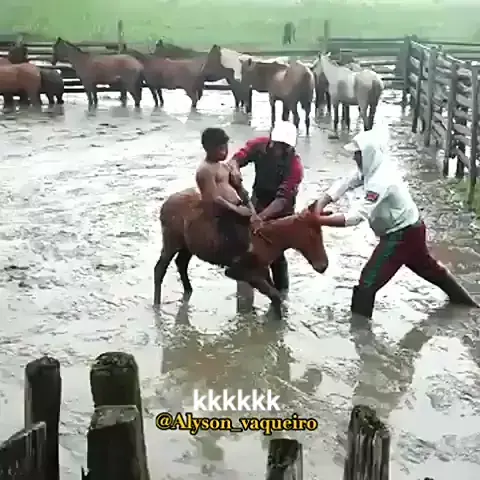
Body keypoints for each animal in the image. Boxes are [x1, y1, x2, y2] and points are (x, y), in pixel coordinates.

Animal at [153, 191, 329, 317]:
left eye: (321, 231)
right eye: (311, 234)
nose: (323, 265)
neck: (271, 241)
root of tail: (163, 206)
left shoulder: (261, 270)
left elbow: (275, 294)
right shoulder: (236, 270)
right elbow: (274, 295)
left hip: (187, 247)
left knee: (181, 264)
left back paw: (188, 290)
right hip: (171, 242)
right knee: (159, 269)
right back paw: (156, 304)